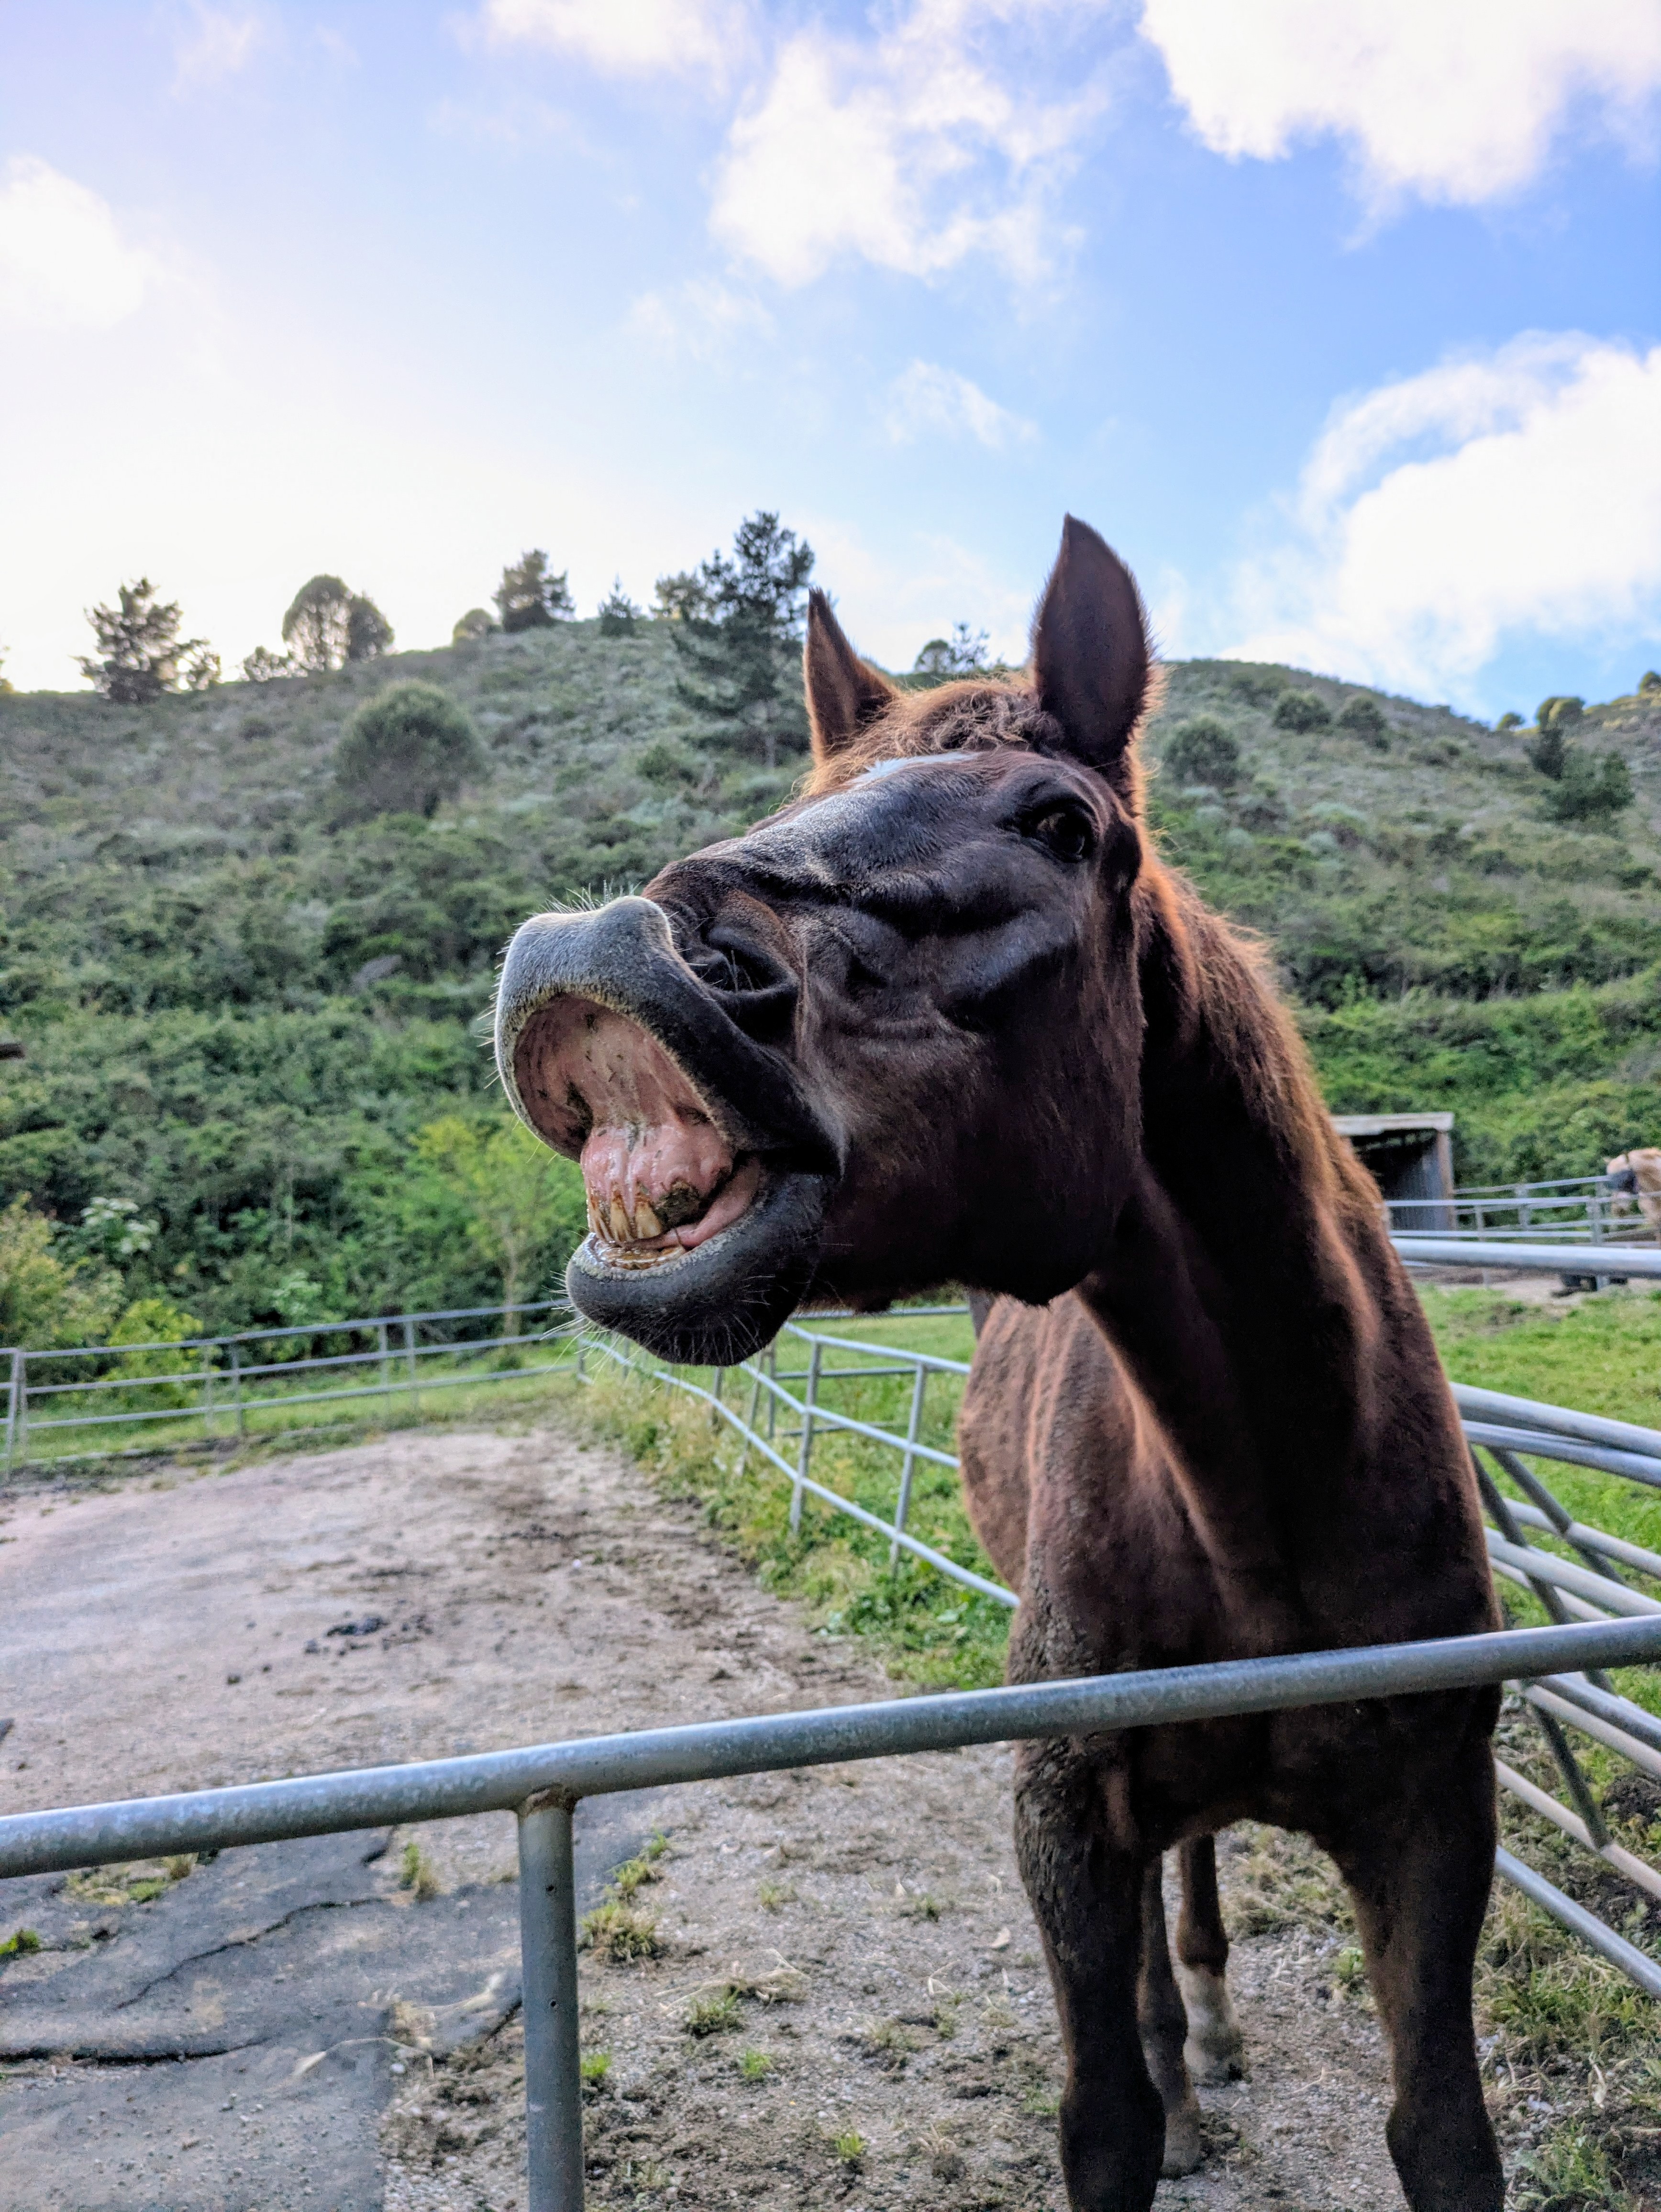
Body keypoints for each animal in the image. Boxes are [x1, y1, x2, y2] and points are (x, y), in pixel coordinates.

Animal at [495, 518, 1503, 2212]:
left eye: (1055, 820)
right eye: (805, 790)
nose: (599, 956)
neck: (1267, 1494)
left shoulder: (1437, 1823)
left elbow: (1441, 2133)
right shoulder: (1066, 1817)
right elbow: (1106, 2120)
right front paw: (1162, 2073)